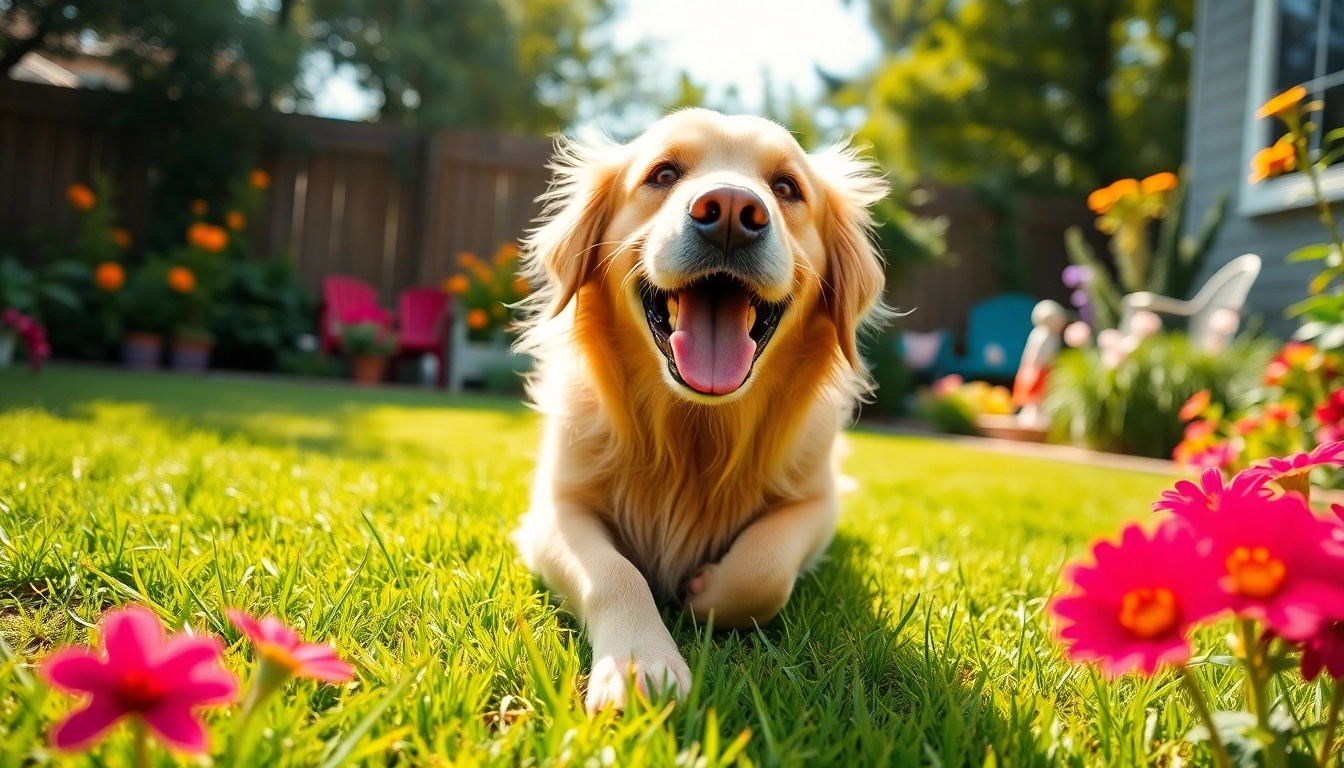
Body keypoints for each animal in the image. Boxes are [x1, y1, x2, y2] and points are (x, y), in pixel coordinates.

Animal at [508, 109, 887, 715]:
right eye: (663, 174)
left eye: (787, 188)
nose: (731, 211)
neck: (694, 433)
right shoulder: (555, 509)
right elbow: (616, 573)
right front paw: (640, 663)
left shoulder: (817, 502)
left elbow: (764, 572)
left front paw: (704, 591)